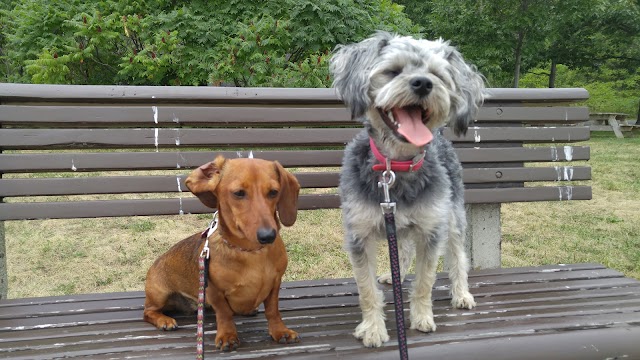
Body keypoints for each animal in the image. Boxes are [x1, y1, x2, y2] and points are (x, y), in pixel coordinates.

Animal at [330, 32, 484, 348]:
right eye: (393, 71)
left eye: (438, 75)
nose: (423, 83)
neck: (396, 168)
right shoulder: (359, 234)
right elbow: (367, 289)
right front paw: (373, 329)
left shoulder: (431, 230)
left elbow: (425, 280)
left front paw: (422, 318)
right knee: (402, 248)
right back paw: (395, 275)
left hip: (452, 218)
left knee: (458, 258)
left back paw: (462, 294)